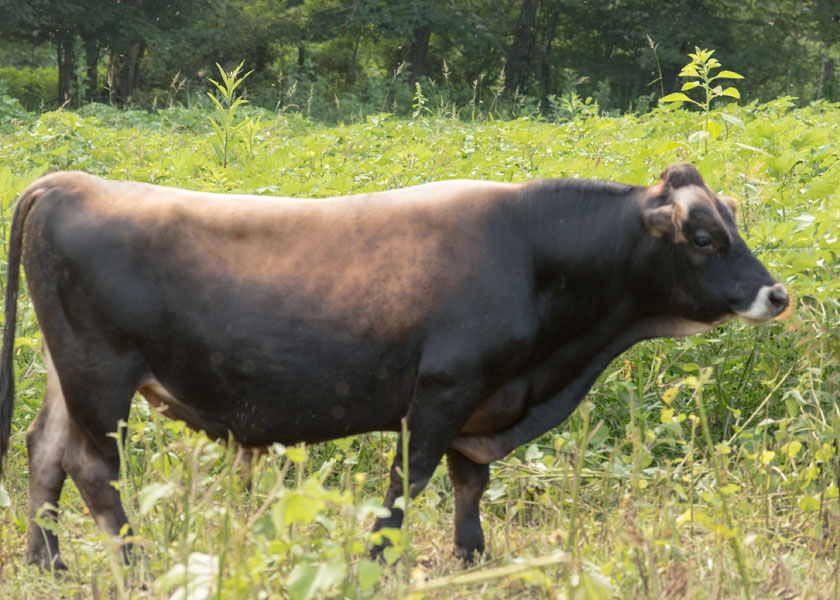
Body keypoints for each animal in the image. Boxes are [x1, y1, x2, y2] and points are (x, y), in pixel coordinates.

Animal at [0, 163, 788, 570]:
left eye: (731, 223)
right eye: (704, 237)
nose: (776, 294)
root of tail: (71, 181)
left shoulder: (483, 397)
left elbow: (470, 483)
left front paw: (471, 556)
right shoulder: (442, 391)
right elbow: (408, 483)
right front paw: (380, 560)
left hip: (68, 373)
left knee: (44, 451)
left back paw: (46, 559)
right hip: (100, 374)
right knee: (91, 466)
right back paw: (133, 562)